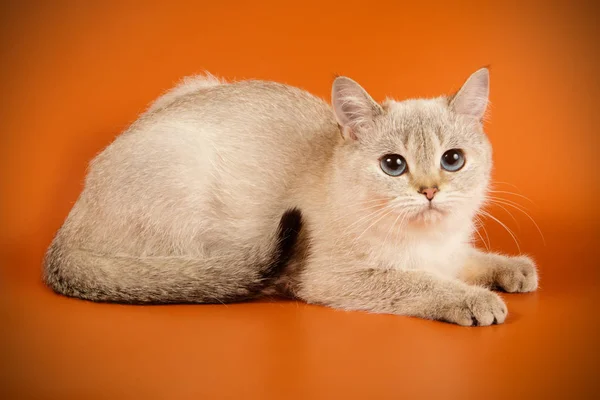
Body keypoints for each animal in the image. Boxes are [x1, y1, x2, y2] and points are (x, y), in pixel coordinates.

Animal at [44, 68, 536, 324]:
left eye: (452, 160)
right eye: (393, 165)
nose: (430, 191)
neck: (428, 241)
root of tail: (64, 233)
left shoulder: (451, 251)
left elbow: (471, 261)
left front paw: (516, 272)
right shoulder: (336, 277)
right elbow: (423, 283)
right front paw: (476, 301)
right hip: (185, 168)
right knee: (195, 275)